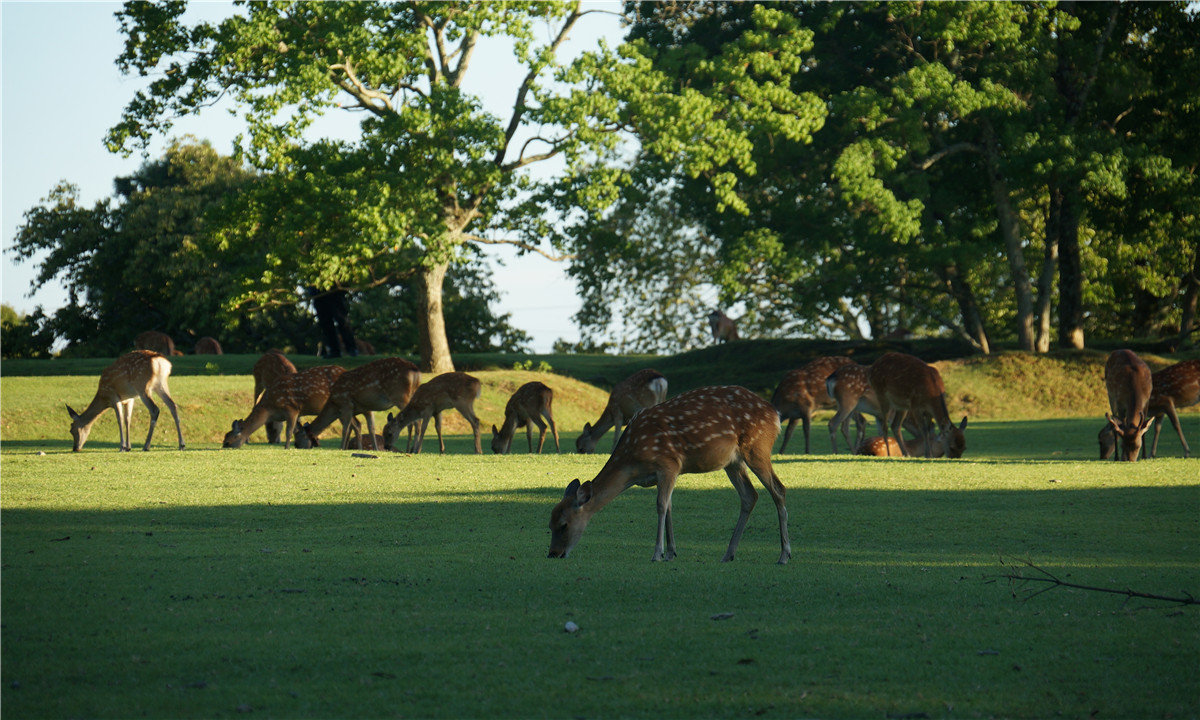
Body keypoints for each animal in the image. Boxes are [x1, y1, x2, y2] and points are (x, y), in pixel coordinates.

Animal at [292, 355, 420, 451]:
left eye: (297, 441)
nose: (296, 447)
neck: (333, 402)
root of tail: (416, 371)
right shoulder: (367, 408)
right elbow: (371, 428)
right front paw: (375, 450)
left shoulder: (346, 404)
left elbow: (345, 429)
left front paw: (341, 448)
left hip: (400, 396)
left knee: (414, 421)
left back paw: (412, 450)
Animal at [549, 386, 792, 566]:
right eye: (549, 524)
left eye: (564, 525)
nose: (553, 553)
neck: (633, 463)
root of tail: (775, 415)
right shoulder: (664, 474)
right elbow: (669, 507)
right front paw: (670, 553)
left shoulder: (668, 463)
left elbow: (660, 505)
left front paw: (657, 553)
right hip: (733, 462)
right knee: (750, 496)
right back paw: (728, 554)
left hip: (757, 447)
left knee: (779, 489)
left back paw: (784, 555)